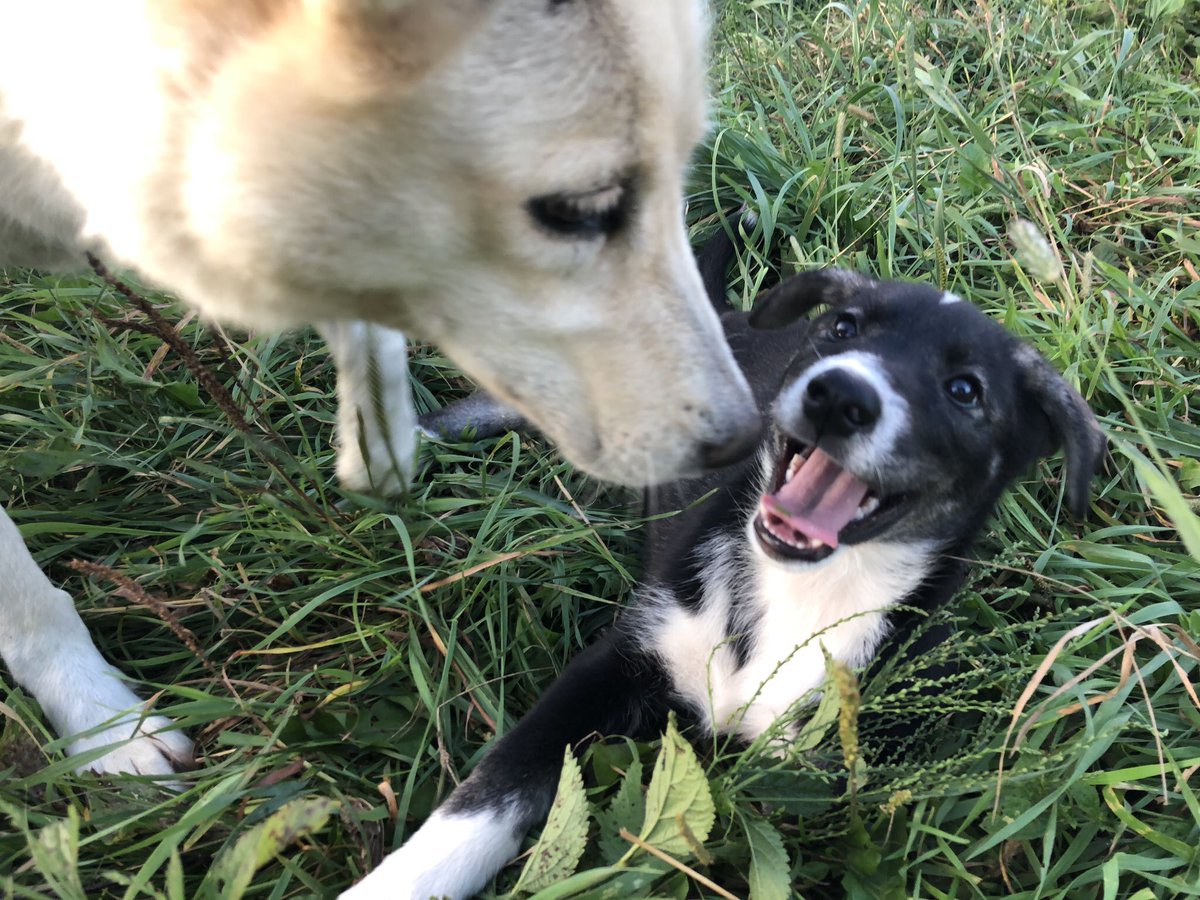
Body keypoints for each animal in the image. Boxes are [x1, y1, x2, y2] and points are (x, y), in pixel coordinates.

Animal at [340, 234, 1104, 900]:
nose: (838, 396)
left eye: (965, 390)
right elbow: (486, 799)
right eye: (843, 327)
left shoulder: (822, 774)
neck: (805, 588)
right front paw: (394, 884)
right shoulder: (618, 661)